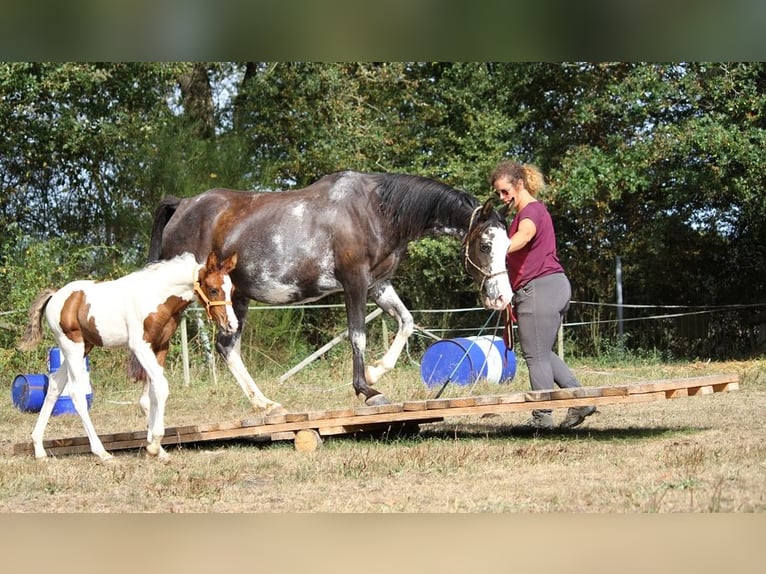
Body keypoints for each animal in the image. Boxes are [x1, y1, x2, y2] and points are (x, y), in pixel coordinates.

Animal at [18, 252, 240, 464]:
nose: (232, 325)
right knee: (76, 394)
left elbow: (150, 396)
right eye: (213, 289)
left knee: (55, 385)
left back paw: (39, 449)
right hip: (72, 346)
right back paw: (102, 452)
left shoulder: (160, 347)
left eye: (232, 289)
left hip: (84, 347)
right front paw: (154, 445)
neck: (157, 296)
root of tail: (56, 295)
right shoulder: (140, 346)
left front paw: (157, 449)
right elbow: (161, 387)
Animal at [148, 170, 512, 414]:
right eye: (485, 244)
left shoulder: (379, 284)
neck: (375, 212)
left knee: (227, 347)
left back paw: (265, 404)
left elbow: (406, 322)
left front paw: (376, 370)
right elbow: (358, 335)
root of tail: (182, 205)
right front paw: (368, 390)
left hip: (233, 296)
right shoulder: (355, 283)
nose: (502, 298)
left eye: (508, 244)